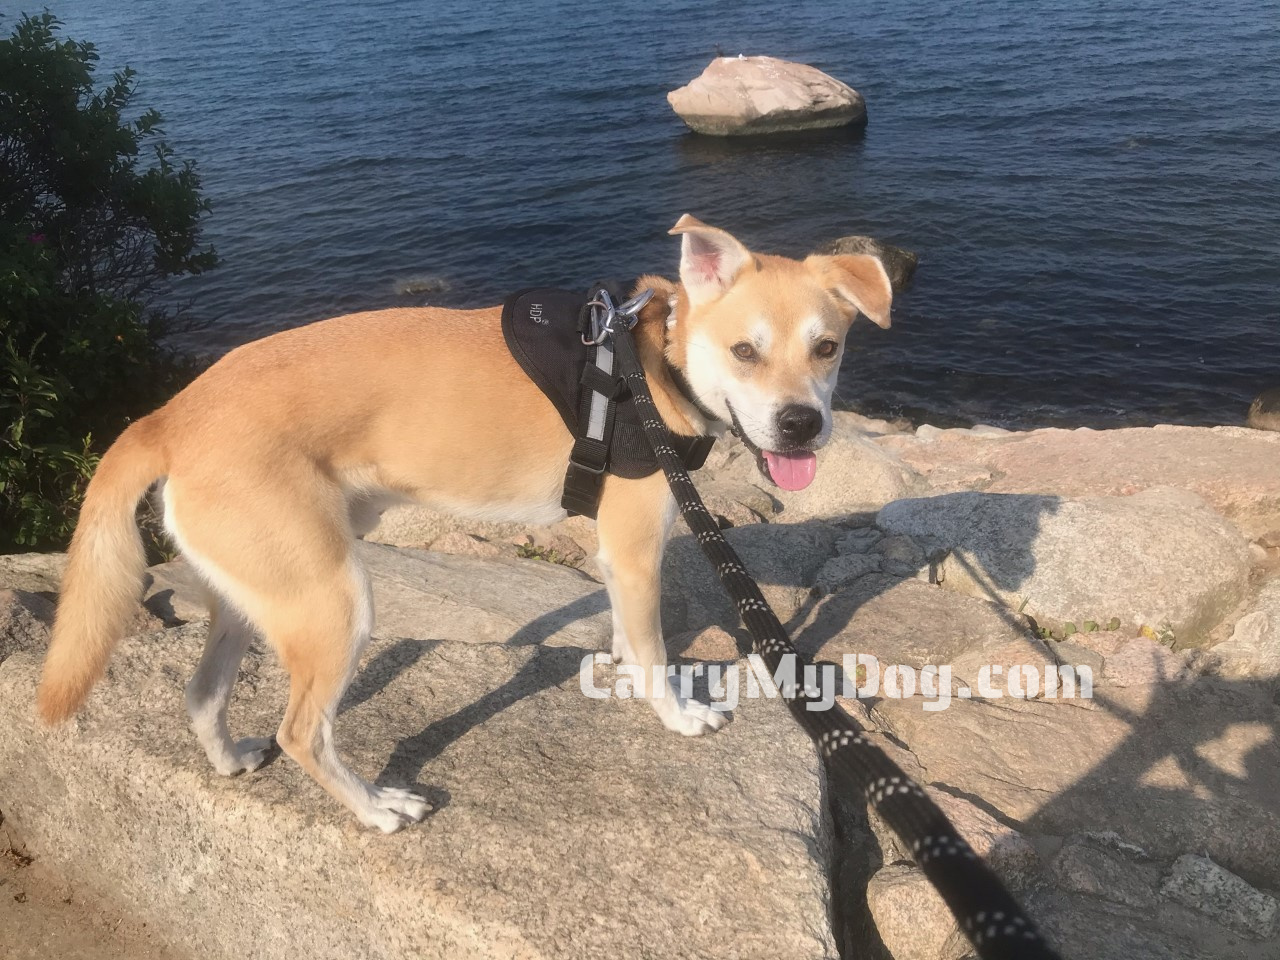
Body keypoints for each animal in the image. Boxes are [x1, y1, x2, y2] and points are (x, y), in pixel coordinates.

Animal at [37, 213, 890, 829]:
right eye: (745, 351)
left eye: (828, 348)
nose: (801, 426)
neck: (652, 364)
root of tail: (172, 414)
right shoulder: (636, 547)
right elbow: (652, 649)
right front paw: (677, 716)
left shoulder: (614, 555)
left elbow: (627, 632)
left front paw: (619, 669)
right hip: (334, 600)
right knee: (303, 732)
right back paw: (375, 808)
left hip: (256, 592)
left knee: (203, 696)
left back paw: (229, 761)